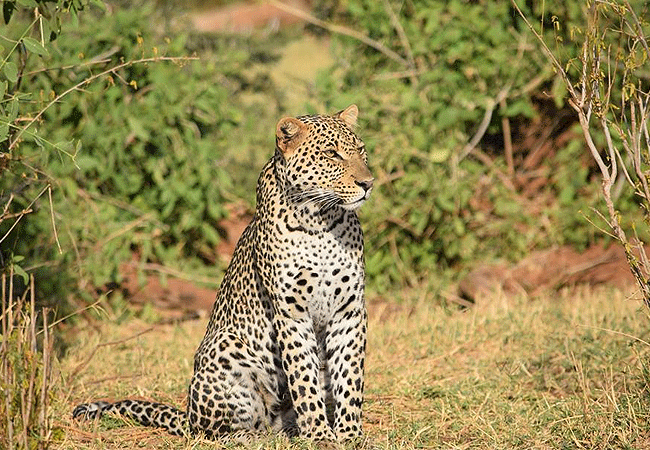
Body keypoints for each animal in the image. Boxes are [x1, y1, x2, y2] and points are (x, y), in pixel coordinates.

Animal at [73, 104, 374, 445]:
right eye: (331, 154)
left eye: (361, 150)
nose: (368, 183)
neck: (322, 221)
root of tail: (188, 415)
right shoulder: (291, 314)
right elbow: (304, 379)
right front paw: (320, 435)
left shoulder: (349, 310)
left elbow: (349, 377)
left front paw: (350, 434)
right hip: (224, 348)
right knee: (213, 431)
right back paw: (250, 438)